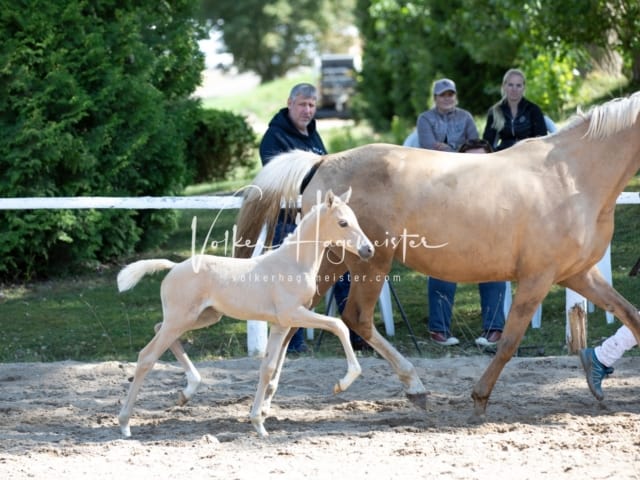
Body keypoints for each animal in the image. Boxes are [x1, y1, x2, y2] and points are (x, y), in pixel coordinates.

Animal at [117, 189, 372, 436]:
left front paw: (258, 424)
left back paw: (188, 390)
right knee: (147, 356)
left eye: (357, 220)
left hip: (202, 317)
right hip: (181, 318)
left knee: (158, 328)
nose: (368, 250)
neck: (293, 263)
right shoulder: (292, 314)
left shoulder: (281, 325)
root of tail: (174, 266)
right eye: (342, 223)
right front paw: (343, 382)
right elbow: (338, 325)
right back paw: (125, 423)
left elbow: (268, 368)